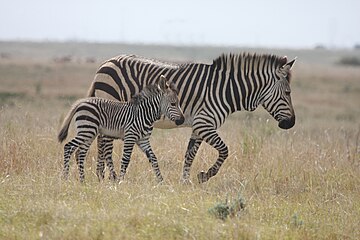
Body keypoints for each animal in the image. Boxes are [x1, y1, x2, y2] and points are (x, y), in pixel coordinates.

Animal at [86, 52, 296, 183]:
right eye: (287, 92)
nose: (291, 123)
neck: (226, 91)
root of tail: (106, 62)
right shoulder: (205, 124)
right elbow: (224, 150)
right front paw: (205, 175)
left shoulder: (199, 126)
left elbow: (190, 154)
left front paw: (185, 181)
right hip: (111, 103)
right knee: (105, 144)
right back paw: (110, 177)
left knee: (101, 141)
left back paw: (100, 176)